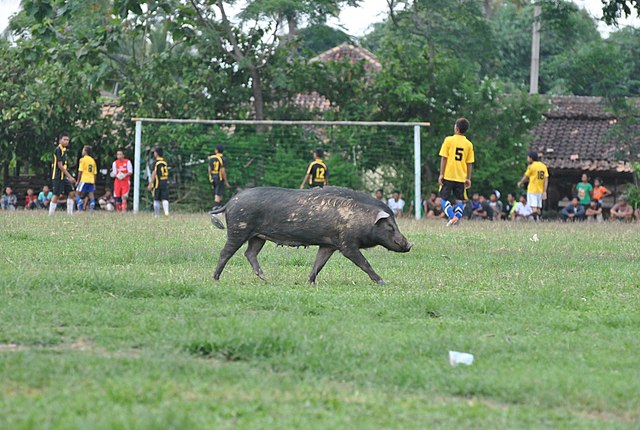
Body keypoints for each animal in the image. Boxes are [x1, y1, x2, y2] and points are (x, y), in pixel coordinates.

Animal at [209, 186, 412, 284]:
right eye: (390, 227)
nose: (409, 245)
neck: (359, 220)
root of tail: (229, 202)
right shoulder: (346, 244)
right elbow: (364, 263)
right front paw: (383, 282)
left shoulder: (329, 245)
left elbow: (318, 263)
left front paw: (310, 282)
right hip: (238, 229)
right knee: (225, 252)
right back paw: (215, 279)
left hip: (257, 237)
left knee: (249, 253)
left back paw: (266, 279)